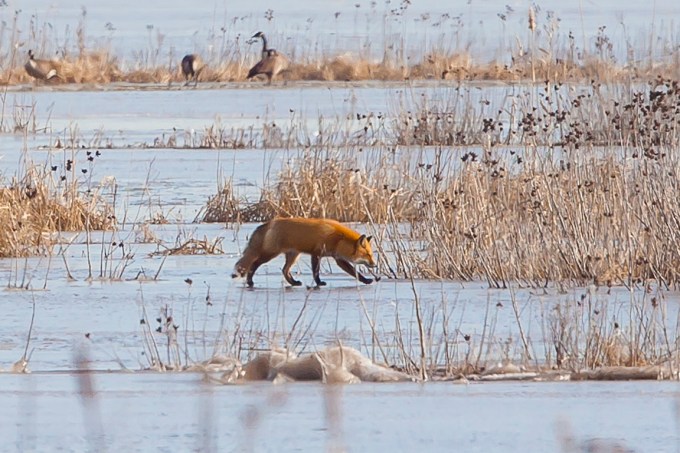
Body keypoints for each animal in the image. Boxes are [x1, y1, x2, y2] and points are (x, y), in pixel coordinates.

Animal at [231, 217, 377, 288]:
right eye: (368, 255)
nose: (375, 265)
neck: (337, 238)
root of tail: (270, 223)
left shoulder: (338, 259)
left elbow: (354, 272)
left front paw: (366, 280)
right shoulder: (317, 254)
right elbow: (316, 272)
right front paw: (319, 283)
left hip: (293, 256)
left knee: (284, 270)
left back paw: (293, 283)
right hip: (270, 254)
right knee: (254, 264)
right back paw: (250, 281)